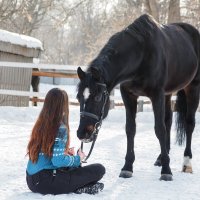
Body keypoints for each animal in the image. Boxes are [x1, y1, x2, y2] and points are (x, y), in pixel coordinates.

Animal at [75, 13, 200, 180]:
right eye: (78, 97)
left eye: (97, 98)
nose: (82, 133)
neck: (140, 56)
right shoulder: (129, 96)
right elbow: (130, 129)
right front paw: (127, 167)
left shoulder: (157, 95)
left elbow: (159, 129)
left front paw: (166, 171)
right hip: (168, 94)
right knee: (168, 121)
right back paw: (161, 158)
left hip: (192, 88)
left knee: (189, 124)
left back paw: (186, 163)